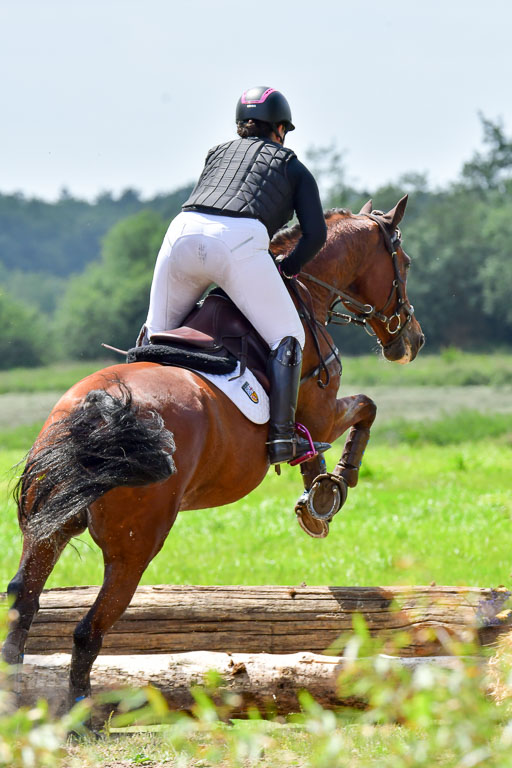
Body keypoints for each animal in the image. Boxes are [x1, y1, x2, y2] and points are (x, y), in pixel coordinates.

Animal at [3, 195, 424, 708]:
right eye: (404, 261)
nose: (413, 340)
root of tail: (98, 412)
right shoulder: (323, 409)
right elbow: (365, 408)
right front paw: (331, 488)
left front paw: (317, 495)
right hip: (133, 547)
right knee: (88, 630)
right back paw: (84, 712)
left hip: (49, 526)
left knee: (23, 603)